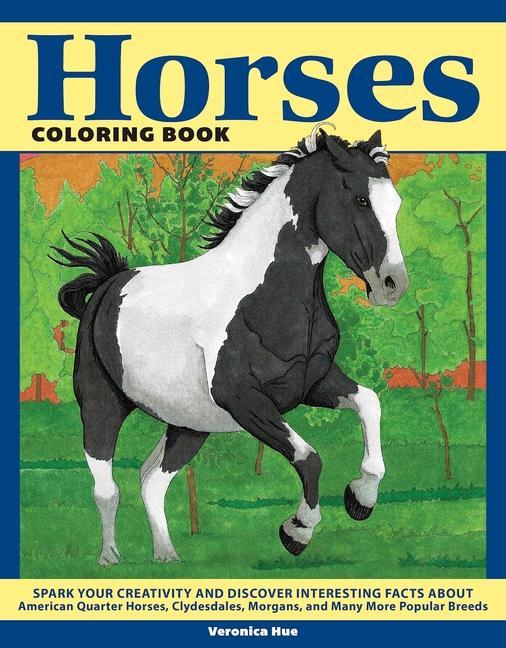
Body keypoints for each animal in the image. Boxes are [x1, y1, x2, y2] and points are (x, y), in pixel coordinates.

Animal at [51, 124, 409, 565]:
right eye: (359, 198)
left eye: (395, 203)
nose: (393, 285)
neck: (266, 298)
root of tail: (107, 284)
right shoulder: (244, 399)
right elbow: (309, 458)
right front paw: (297, 531)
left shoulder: (312, 384)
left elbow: (369, 403)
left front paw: (361, 499)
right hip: (102, 406)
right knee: (106, 489)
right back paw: (110, 559)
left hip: (188, 426)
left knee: (152, 481)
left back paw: (167, 556)